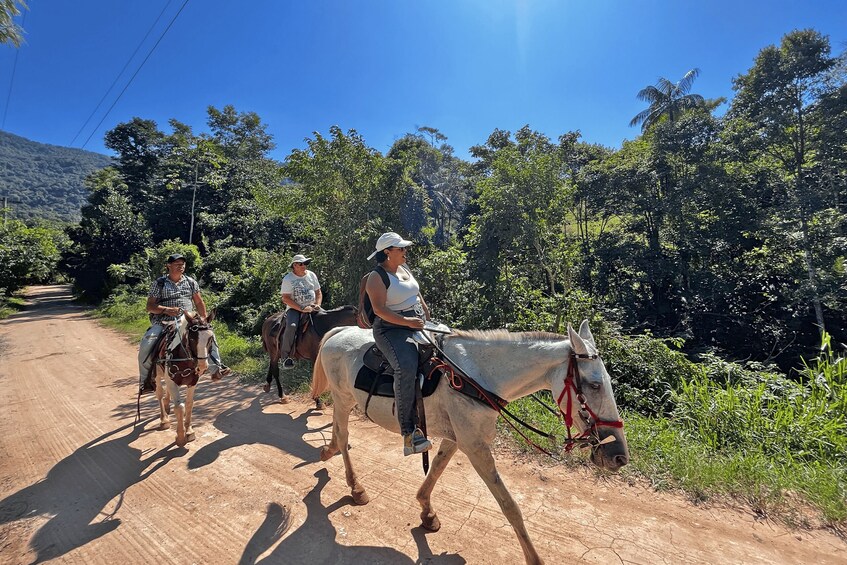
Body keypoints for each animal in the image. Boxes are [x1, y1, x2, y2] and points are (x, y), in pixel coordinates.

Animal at [153, 312, 217, 446]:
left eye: (210, 338)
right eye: (192, 339)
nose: (202, 366)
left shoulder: (192, 383)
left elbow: (189, 404)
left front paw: (189, 431)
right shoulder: (171, 382)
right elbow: (179, 407)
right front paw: (181, 436)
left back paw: (167, 405)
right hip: (157, 375)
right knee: (159, 393)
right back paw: (164, 419)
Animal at [312, 320, 628, 560]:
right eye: (594, 385)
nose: (618, 456)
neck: (477, 378)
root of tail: (339, 331)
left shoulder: (457, 439)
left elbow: (436, 470)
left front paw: (427, 512)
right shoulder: (475, 447)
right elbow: (510, 506)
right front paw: (534, 559)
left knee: (339, 435)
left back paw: (327, 453)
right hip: (343, 399)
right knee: (343, 435)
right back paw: (355, 487)